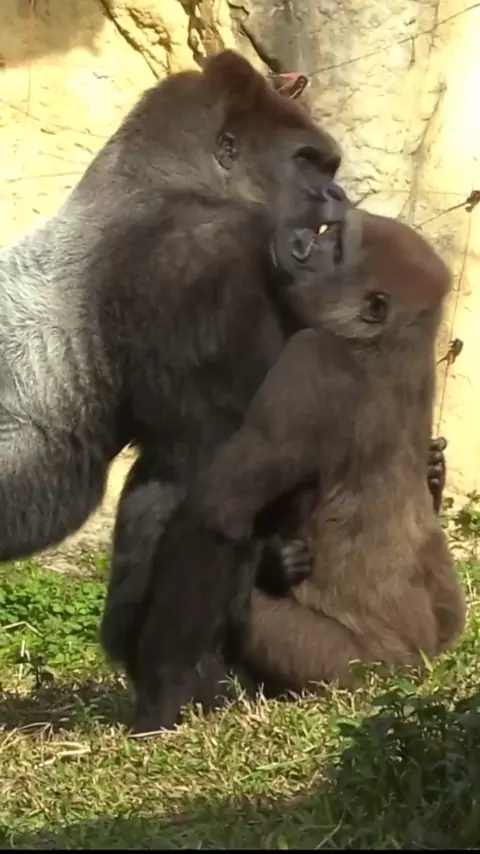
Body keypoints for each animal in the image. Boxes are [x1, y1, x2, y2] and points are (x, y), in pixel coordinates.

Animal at [128, 205, 465, 733]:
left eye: (339, 249)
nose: (310, 243)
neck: (386, 340)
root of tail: (412, 670)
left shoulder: (310, 363)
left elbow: (216, 512)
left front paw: (159, 694)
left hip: (350, 669)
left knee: (248, 610)